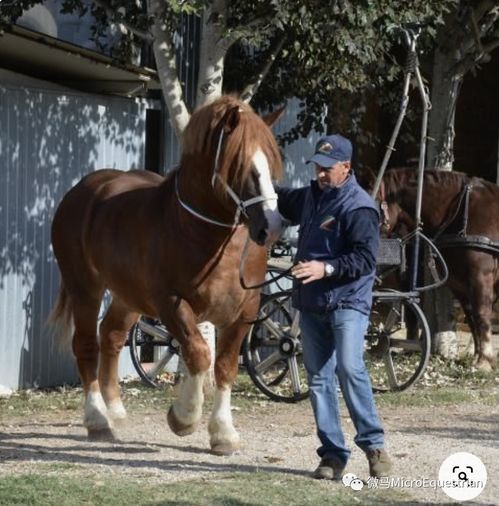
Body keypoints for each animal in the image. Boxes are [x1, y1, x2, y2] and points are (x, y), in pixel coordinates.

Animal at [50, 97, 286, 452]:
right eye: (239, 164)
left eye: (271, 164)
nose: (270, 227)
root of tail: (80, 191)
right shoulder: (171, 303)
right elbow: (199, 355)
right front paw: (184, 418)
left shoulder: (246, 309)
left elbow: (225, 366)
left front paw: (223, 433)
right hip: (85, 289)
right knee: (87, 345)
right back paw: (98, 420)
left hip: (128, 296)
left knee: (111, 336)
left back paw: (115, 410)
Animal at [360, 168, 499, 370]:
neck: (464, 211)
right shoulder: (459, 282)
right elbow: (471, 316)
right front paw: (477, 356)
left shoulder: (480, 276)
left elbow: (481, 313)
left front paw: (484, 360)